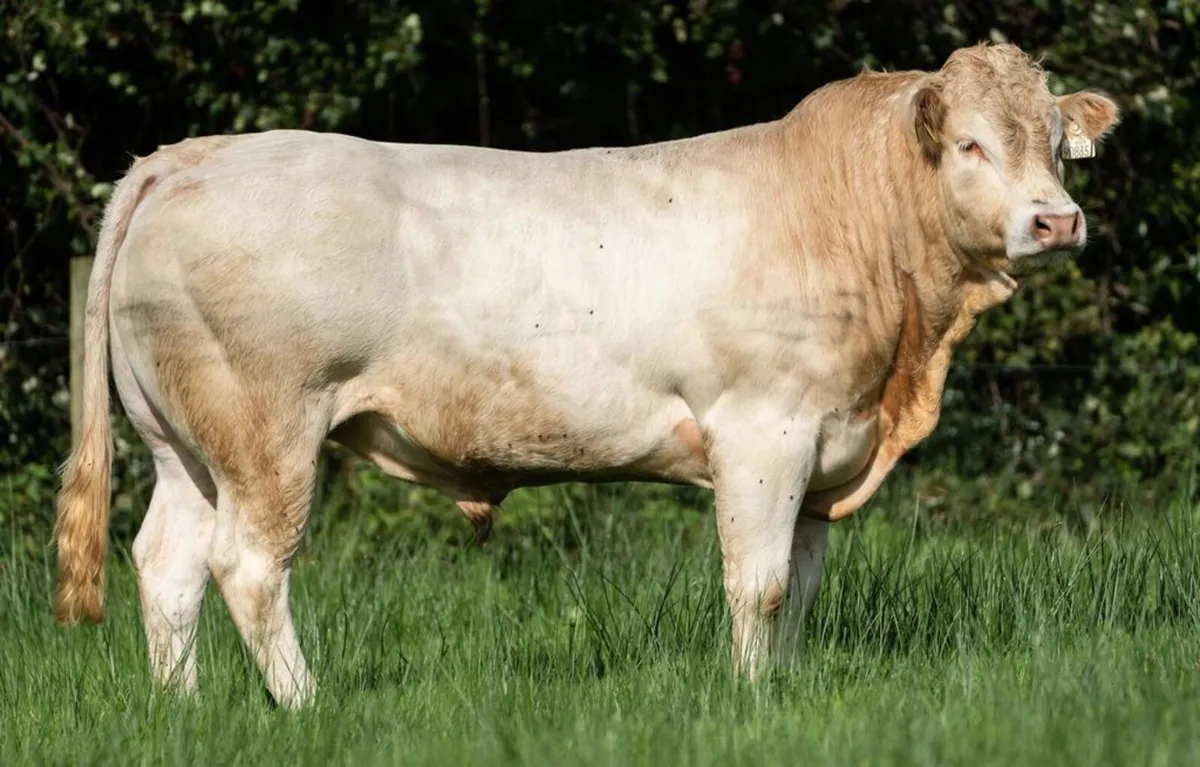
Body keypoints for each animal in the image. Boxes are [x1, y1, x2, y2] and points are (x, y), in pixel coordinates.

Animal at [52, 42, 1119, 708]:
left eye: (1057, 146)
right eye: (971, 143)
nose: (1056, 219)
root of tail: (191, 152)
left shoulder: (827, 447)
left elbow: (804, 586)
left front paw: (782, 689)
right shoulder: (764, 430)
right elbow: (760, 583)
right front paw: (748, 698)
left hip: (183, 444)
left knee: (166, 564)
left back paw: (183, 708)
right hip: (265, 426)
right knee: (246, 565)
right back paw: (306, 705)